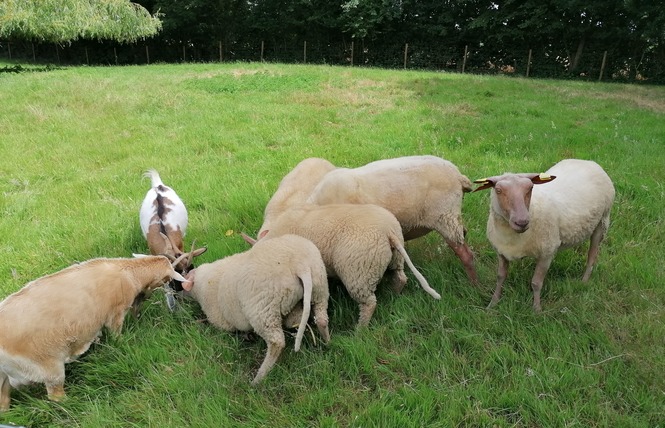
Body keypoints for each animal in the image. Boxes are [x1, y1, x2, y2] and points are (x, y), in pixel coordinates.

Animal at [180, 234, 328, 384]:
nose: (178, 295)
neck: (201, 283)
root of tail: (300, 264)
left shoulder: (220, 321)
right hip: (319, 286)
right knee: (321, 319)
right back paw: (327, 343)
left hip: (263, 310)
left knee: (276, 342)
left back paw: (258, 379)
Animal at [252, 204, 444, 328]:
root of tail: (389, 232)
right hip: (394, 259)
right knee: (401, 278)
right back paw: (394, 295)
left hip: (358, 271)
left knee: (369, 303)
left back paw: (360, 329)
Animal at [306, 155, 478, 284]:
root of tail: (459, 176)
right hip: (451, 217)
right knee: (463, 235)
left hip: (445, 216)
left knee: (466, 254)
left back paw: (473, 284)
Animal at [474, 157, 616, 310]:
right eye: (498, 190)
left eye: (530, 188)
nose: (522, 221)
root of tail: (587, 161)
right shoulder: (501, 252)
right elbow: (500, 277)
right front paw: (492, 303)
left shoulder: (546, 253)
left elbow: (536, 283)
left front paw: (536, 309)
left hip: (602, 221)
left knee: (592, 254)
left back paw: (584, 281)